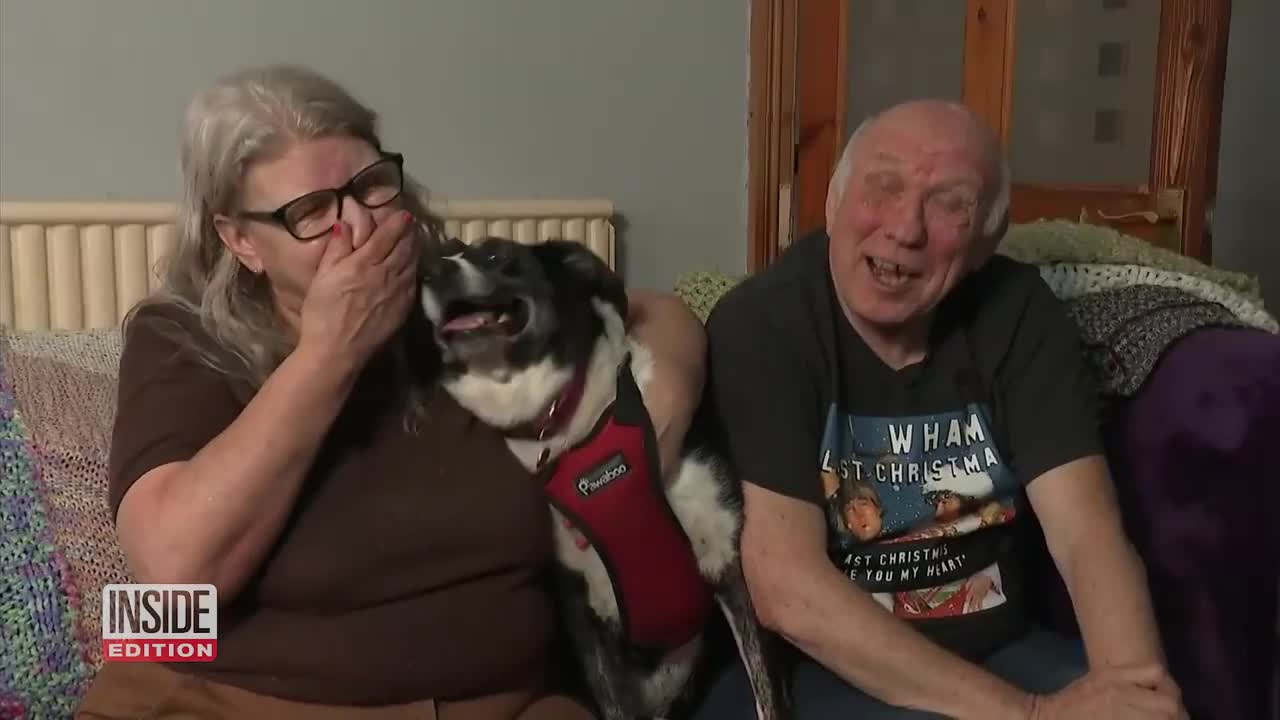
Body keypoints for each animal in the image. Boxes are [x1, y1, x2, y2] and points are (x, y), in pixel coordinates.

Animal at [409, 235, 788, 717]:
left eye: (495, 253)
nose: (430, 272)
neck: (570, 430)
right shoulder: (583, 618)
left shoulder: (727, 560)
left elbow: (768, 694)